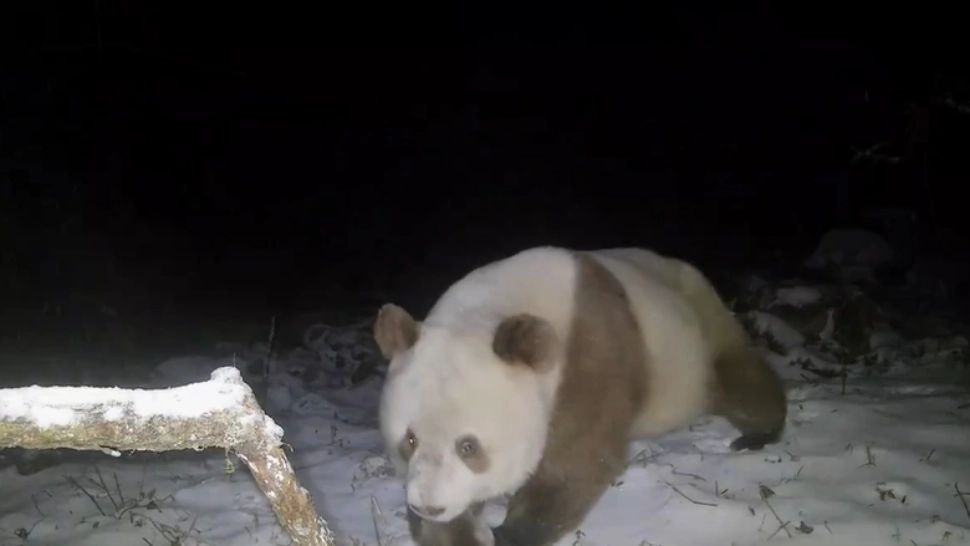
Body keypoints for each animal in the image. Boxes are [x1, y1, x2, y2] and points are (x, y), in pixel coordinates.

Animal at [374, 246, 788, 546]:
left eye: (468, 446)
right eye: (409, 441)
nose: (429, 505)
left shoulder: (589, 352)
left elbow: (577, 460)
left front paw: (510, 534)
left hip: (697, 327)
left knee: (739, 377)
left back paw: (758, 434)